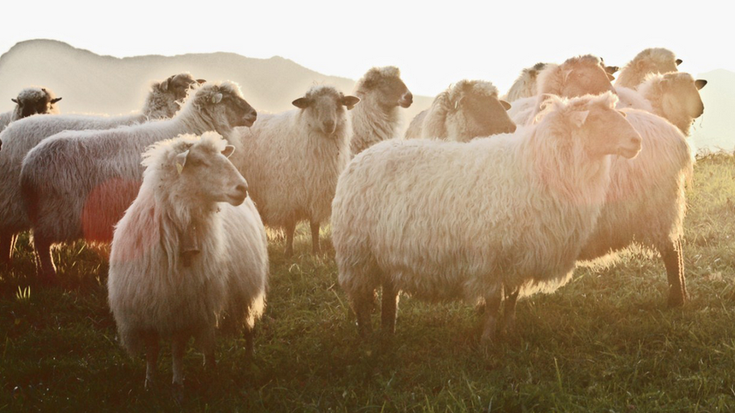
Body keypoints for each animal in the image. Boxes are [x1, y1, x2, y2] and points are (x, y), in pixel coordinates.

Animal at [20, 80, 258, 282]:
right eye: (229, 99)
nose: (254, 114)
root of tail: (29, 163)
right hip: (57, 213)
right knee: (40, 242)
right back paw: (50, 274)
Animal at [108, 132, 268, 396]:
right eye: (199, 162)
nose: (242, 188)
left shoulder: (185, 308)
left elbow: (177, 349)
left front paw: (177, 385)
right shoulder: (146, 308)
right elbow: (151, 350)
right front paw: (149, 383)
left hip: (245, 291)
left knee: (248, 327)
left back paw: (248, 359)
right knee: (209, 338)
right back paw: (210, 366)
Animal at [233, 85, 360, 256]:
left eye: (339, 102)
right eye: (312, 102)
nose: (328, 124)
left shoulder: (316, 193)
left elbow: (314, 225)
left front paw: (316, 250)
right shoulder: (288, 194)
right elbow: (290, 225)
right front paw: (288, 251)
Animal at [330, 91, 640, 342]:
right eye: (596, 118)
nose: (636, 141)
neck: (536, 165)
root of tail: (363, 156)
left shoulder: (519, 256)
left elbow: (512, 299)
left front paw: (509, 331)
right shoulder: (490, 256)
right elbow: (492, 303)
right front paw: (488, 342)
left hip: (386, 255)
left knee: (389, 294)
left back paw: (389, 332)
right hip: (357, 253)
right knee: (361, 301)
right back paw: (368, 340)